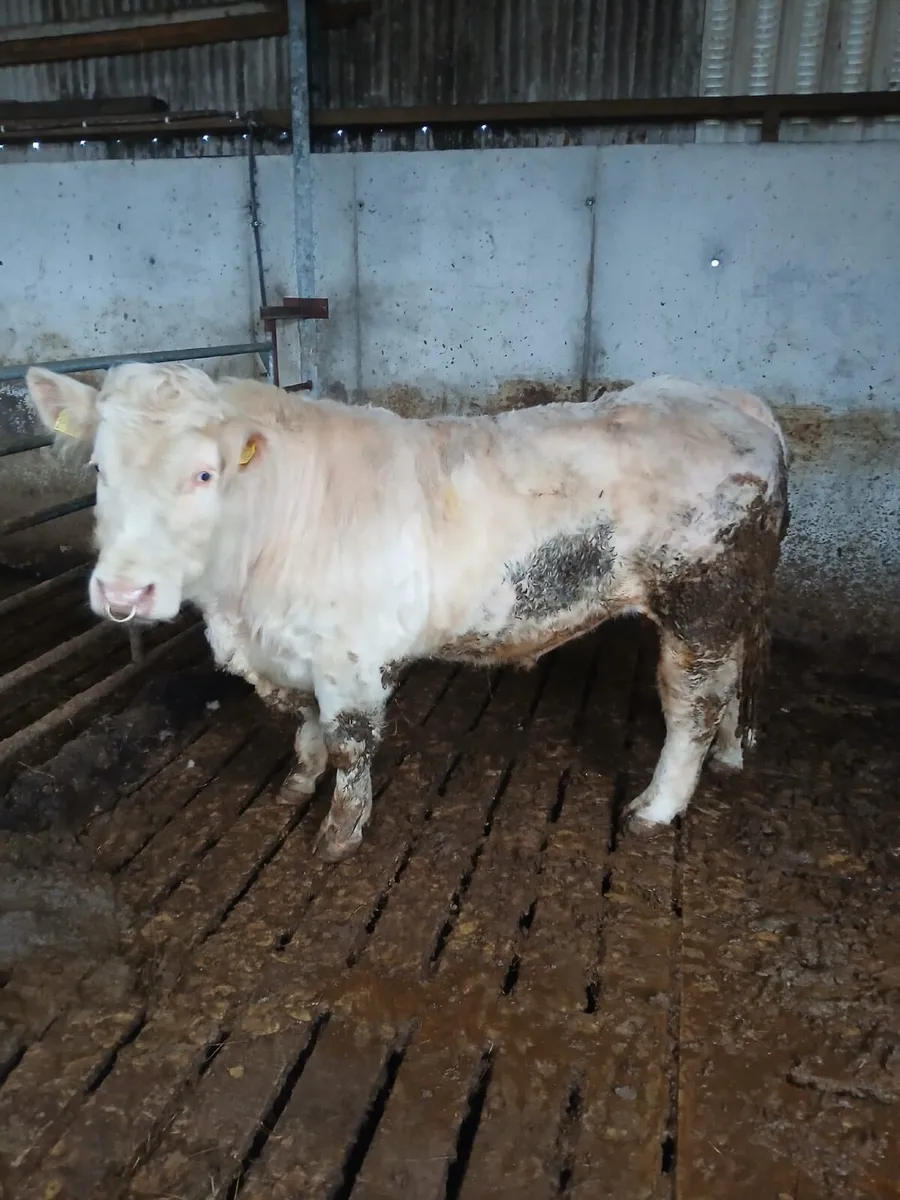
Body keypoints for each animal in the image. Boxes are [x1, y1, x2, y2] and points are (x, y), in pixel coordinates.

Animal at [26, 363, 789, 862]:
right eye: (98, 470)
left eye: (204, 473)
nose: (124, 593)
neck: (238, 602)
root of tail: (735, 399)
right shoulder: (284, 650)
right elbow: (301, 721)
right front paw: (297, 782)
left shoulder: (350, 658)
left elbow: (349, 743)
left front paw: (338, 833)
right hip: (732, 608)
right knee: (728, 688)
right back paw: (728, 756)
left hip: (698, 601)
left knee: (692, 706)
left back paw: (655, 808)